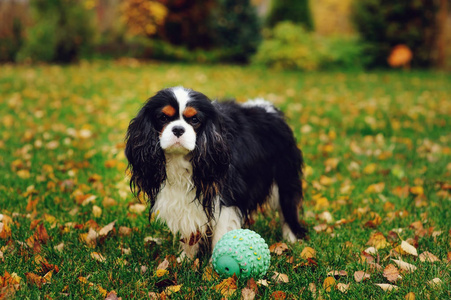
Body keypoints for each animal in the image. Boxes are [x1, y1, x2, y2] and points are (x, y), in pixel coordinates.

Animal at [125, 86, 308, 258]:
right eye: (163, 118)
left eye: (194, 120)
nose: (178, 129)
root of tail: (268, 108)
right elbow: (190, 232)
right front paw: (186, 260)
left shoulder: (225, 198)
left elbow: (221, 234)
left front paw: (213, 267)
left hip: (283, 177)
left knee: (287, 208)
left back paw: (291, 238)